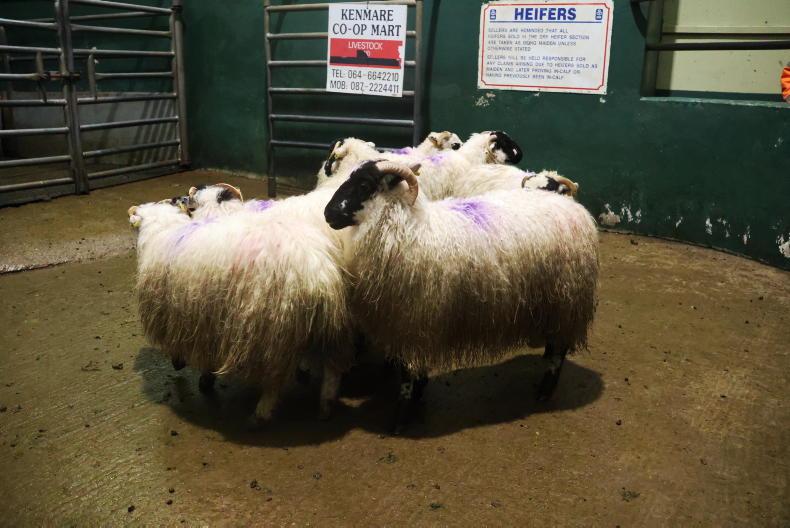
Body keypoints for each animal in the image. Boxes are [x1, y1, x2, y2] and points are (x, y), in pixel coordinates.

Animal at [128, 197, 354, 426]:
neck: (163, 230)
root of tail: (317, 269)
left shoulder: (183, 318)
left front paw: (197, 373)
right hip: (330, 322)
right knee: (333, 367)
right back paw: (326, 405)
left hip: (270, 331)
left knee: (275, 379)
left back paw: (260, 414)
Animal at [323, 160, 599, 430]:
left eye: (364, 185)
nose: (328, 214)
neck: (408, 229)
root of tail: (572, 206)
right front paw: (418, 395)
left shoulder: (413, 323)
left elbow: (407, 373)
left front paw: (401, 417)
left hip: (567, 299)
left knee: (560, 348)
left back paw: (544, 391)